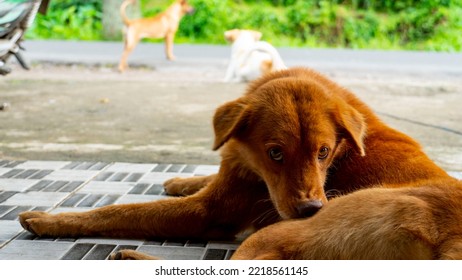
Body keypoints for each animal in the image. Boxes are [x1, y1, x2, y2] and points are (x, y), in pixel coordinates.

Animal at [19, 68, 454, 260]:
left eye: (323, 152)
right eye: (275, 152)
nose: (311, 207)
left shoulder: (210, 211)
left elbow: (121, 210)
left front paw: (48, 219)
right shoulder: (231, 172)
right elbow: (203, 174)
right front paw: (177, 180)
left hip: (289, 231)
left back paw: (130, 257)